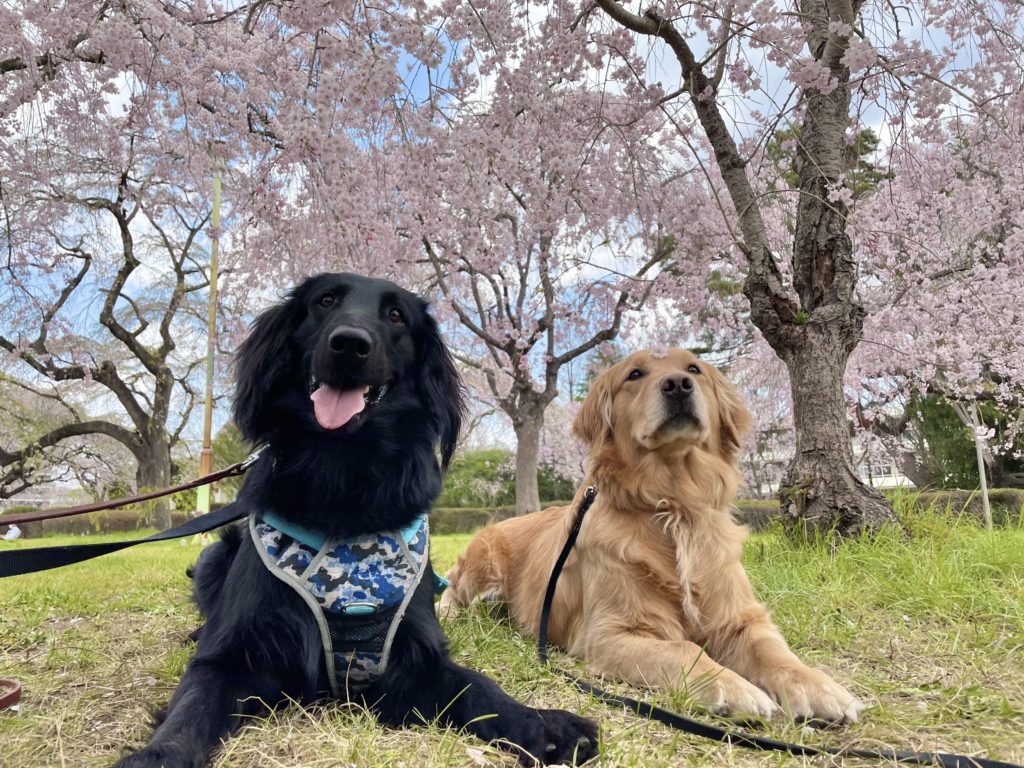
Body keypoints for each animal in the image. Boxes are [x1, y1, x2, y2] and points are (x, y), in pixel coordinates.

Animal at [117, 274, 598, 765]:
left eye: (396, 316)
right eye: (325, 300)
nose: (350, 343)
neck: (342, 478)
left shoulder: (413, 661)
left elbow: (478, 688)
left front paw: (544, 726)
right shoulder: (233, 656)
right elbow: (191, 709)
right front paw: (155, 757)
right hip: (217, 554)